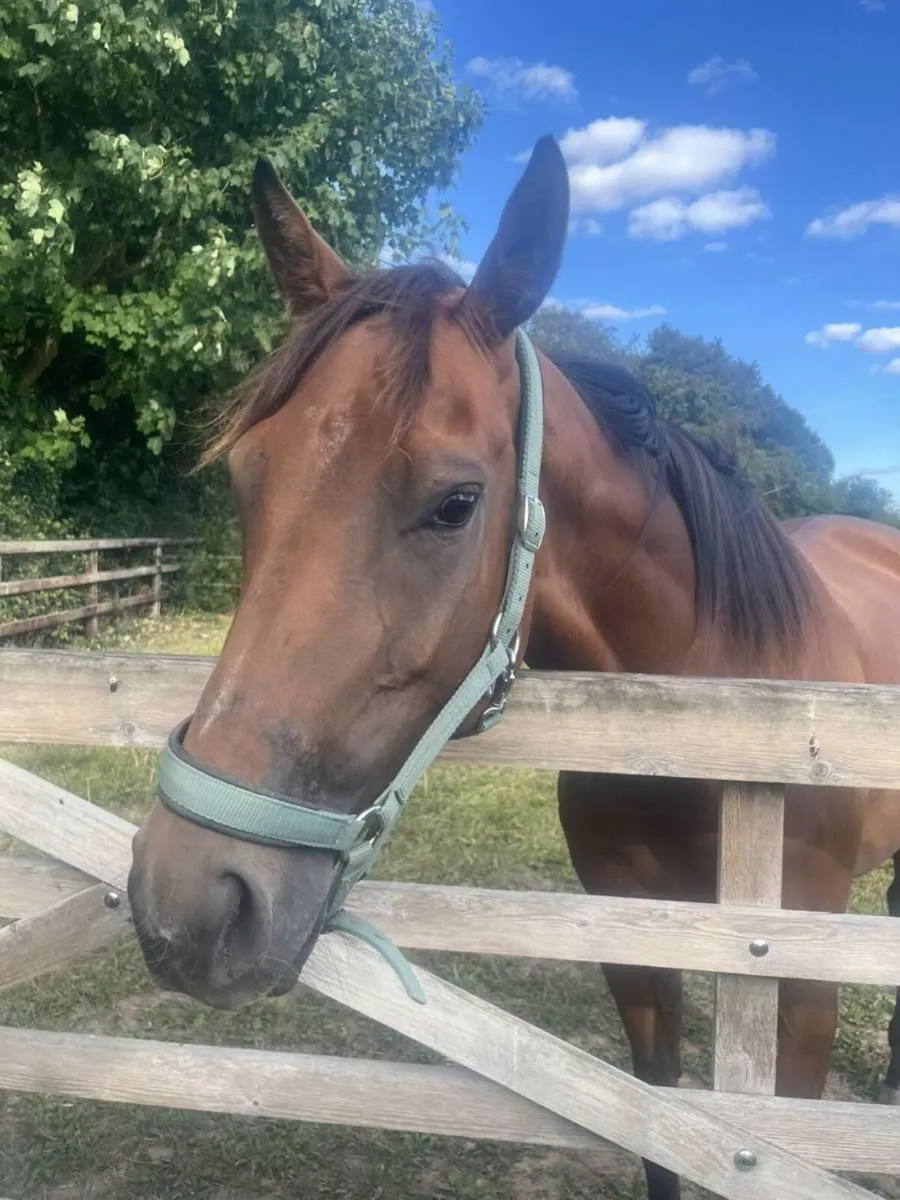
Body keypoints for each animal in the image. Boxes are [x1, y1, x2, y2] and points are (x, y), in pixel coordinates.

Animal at [127, 135, 900, 1200]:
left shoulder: (802, 976)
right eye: (248, 478)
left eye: (456, 503)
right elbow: (663, 1130)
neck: (721, 725)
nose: (190, 905)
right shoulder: (634, 948)